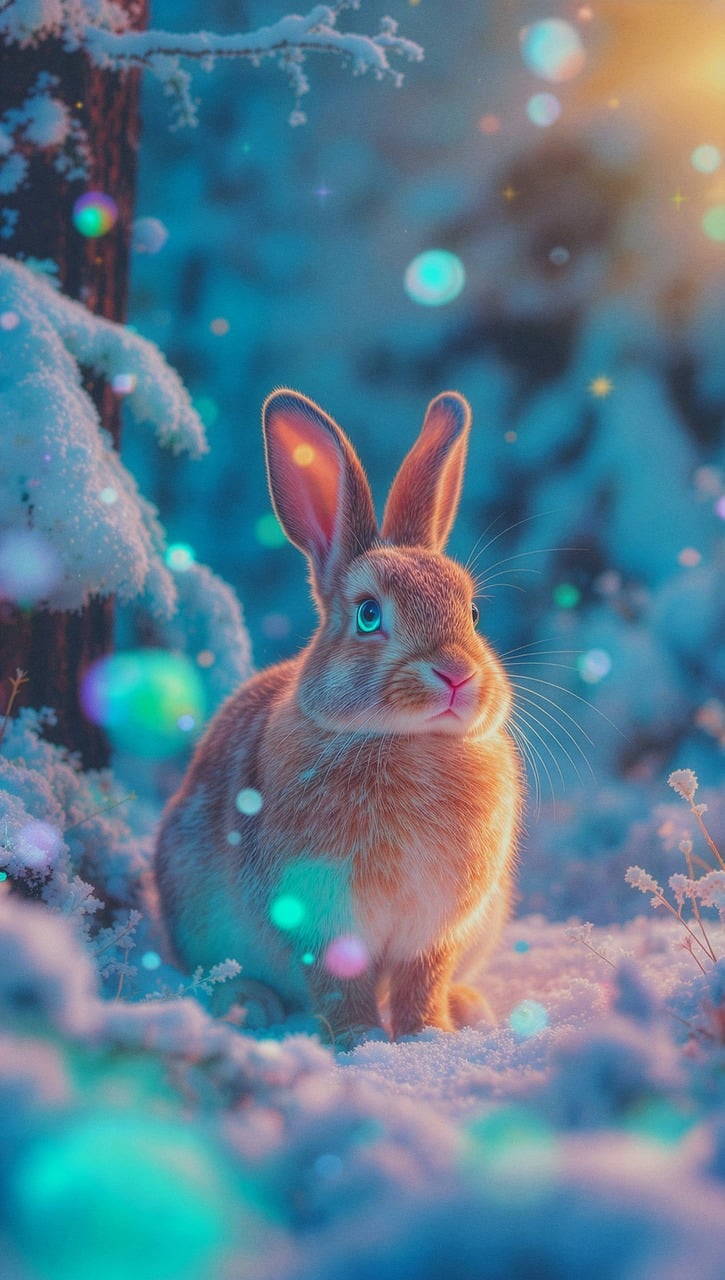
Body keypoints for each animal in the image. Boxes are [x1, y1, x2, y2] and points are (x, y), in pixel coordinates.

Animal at [155, 388, 523, 1043]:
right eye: (369, 614)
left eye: (474, 612)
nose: (456, 674)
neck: (408, 740)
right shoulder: (320, 919)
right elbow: (340, 985)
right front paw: (362, 1042)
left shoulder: (435, 929)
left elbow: (421, 979)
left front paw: (429, 1037)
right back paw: (251, 1006)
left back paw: (468, 1007)